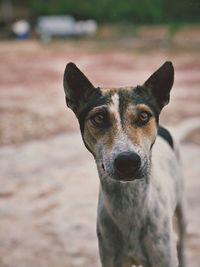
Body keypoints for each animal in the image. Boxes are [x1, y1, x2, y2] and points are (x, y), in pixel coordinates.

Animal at [63, 61, 186, 266]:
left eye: (144, 116)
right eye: (99, 118)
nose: (127, 161)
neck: (129, 204)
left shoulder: (163, 256)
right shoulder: (111, 257)